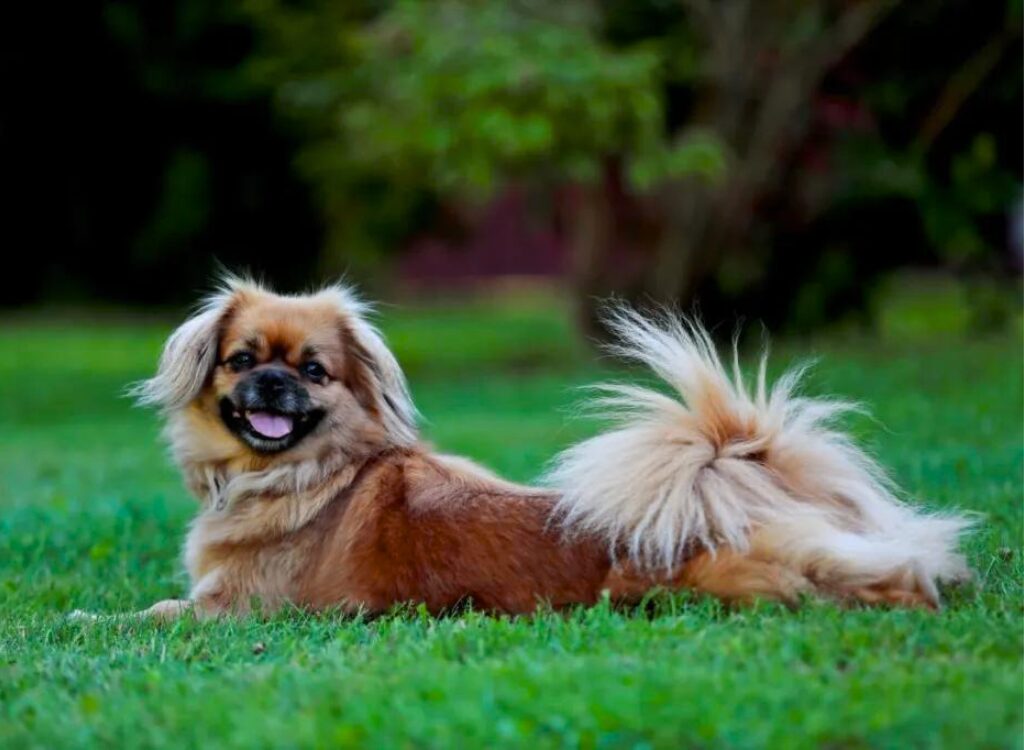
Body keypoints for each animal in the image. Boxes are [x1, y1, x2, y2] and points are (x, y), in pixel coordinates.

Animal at [105, 276, 974, 622]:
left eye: (313, 372)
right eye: (241, 360)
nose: (274, 384)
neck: (306, 472)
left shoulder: (234, 610)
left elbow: (141, 615)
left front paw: (89, 618)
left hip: (725, 579)